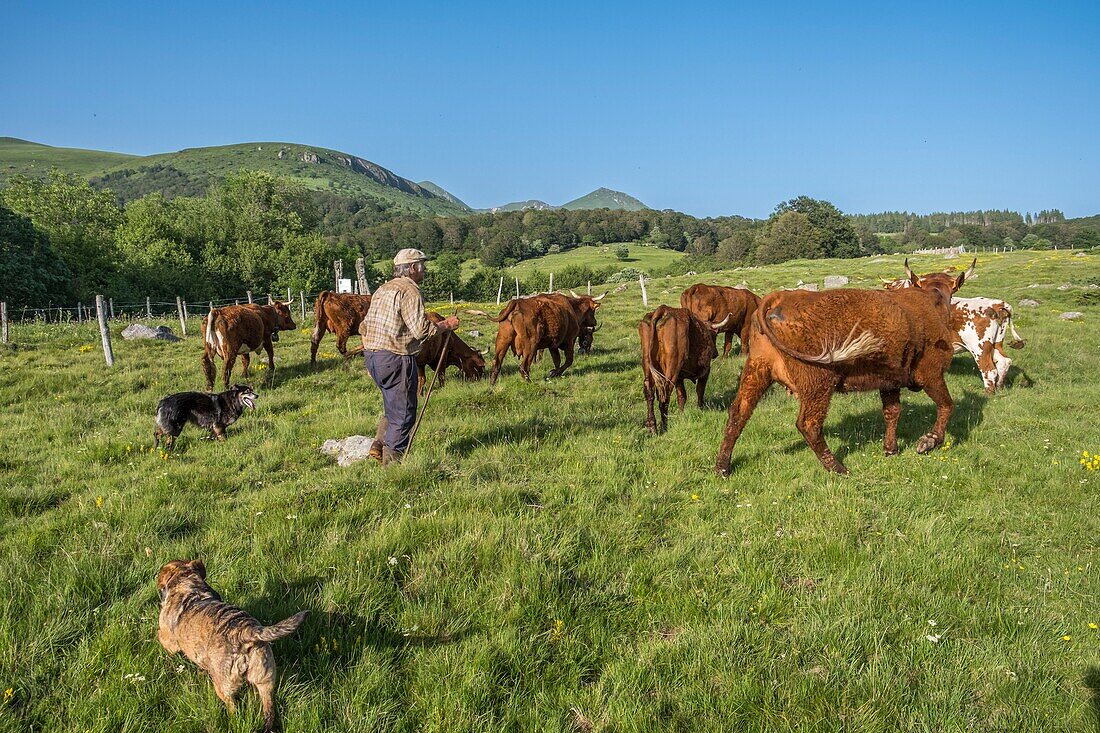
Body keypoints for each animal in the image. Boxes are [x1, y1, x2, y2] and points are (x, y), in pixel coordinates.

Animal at [157, 556, 308, 726]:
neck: (187, 585)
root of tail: (246, 632)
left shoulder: (169, 640)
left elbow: (161, 637)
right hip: (265, 677)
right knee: (269, 707)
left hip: (223, 684)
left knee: (233, 707)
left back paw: (232, 719)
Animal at [638, 303, 730, 431]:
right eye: (714, 335)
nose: (715, 353)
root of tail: (663, 309)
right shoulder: (705, 371)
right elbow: (700, 391)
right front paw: (700, 409)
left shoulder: (679, 377)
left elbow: (681, 396)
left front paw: (681, 415)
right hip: (671, 369)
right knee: (664, 396)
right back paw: (664, 427)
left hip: (648, 364)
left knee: (649, 393)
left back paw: (652, 427)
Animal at [721, 258, 972, 473]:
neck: (932, 301)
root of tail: (779, 298)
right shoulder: (931, 374)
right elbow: (946, 405)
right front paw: (929, 441)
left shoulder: (889, 382)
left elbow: (892, 412)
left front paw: (890, 448)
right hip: (818, 382)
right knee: (809, 424)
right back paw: (837, 467)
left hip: (758, 370)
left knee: (738, 412)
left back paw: (722, 467)